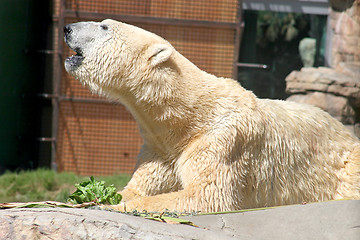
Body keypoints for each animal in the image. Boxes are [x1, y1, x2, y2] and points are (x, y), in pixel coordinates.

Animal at [64, 19, 360, 213]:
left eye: (104, 27)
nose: (67, 28)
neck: (187, 118)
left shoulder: (220, 141)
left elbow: (207, 194)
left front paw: (116, 206)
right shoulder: (160, 150)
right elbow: (140, 186)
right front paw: (89, 197)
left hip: (345, 165)